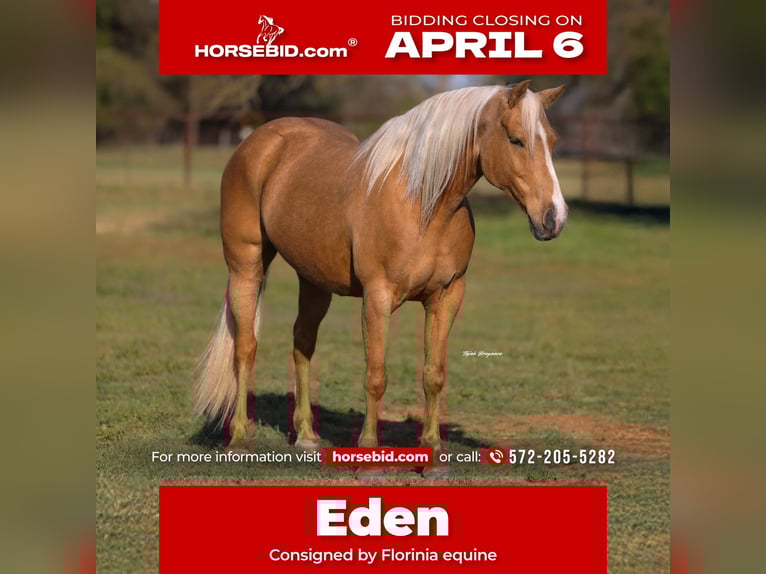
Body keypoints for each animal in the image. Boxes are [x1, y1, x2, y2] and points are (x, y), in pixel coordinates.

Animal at [194, 81, 568, 453]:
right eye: (516, 140)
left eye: (552, 141)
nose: (555, 218)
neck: (422, 204)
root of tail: (260, 141)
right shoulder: (378, 297)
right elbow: (375, 375)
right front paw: (369, 445)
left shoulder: (446, 298)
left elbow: (434, 375)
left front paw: (432, 445)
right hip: (246, 266)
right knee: (245, 348)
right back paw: (239, 437)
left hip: (314, 280)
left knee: (302, 343)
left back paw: (306, 435)